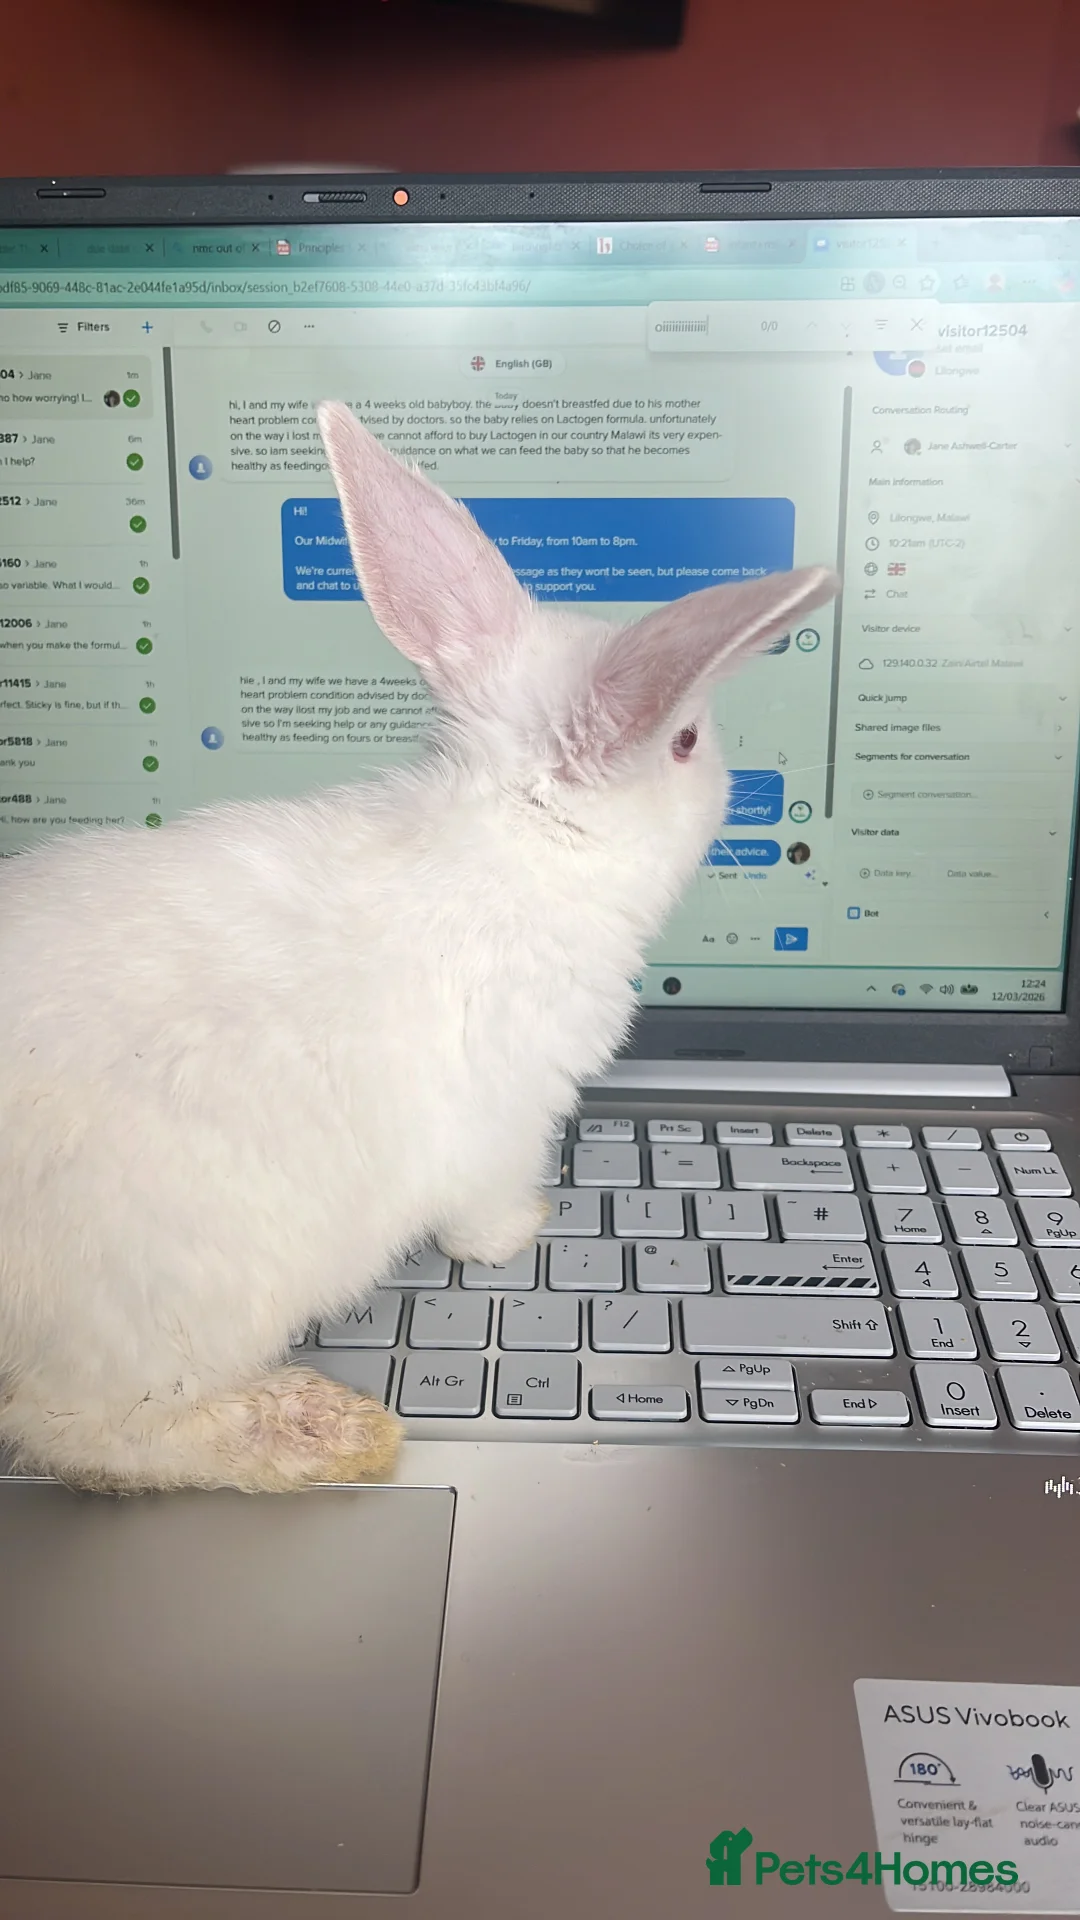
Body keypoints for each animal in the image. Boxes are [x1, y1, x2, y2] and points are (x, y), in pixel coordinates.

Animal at [0, 402, 838, 1493]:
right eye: (686, 741)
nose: (737, 780)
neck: (517, 841)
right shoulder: (503, 1117)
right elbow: (482, 1210)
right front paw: (524, 1231)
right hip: (174, 1298)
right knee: (85, 1428)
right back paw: (327, 1431)